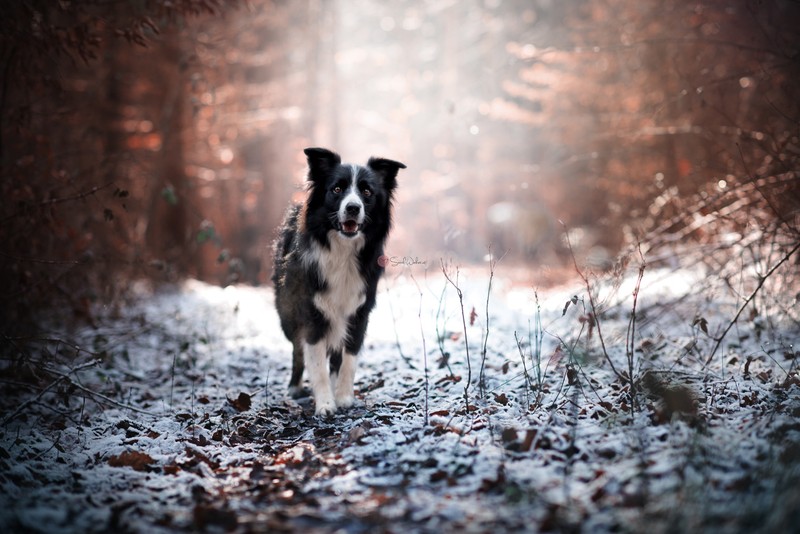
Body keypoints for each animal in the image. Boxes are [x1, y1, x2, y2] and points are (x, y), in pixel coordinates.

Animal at [272, 148, 406, 418]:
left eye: (367, 192)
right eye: (336, 189)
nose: (353, 208)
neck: (343, 250)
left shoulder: (359, 312)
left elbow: (348, 359)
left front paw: (343, 397)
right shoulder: (312, 313)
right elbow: (315, 363)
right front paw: (325, 404)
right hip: (288, 314)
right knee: (297, 350)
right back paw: (295, 387)